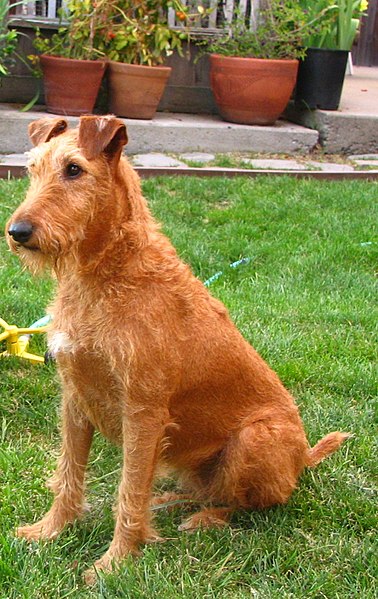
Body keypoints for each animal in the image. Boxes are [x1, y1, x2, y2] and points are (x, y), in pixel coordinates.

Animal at [5, 115, 348, 584]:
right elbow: (68, 475)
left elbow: (128, 492)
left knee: (249, 504)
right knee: (202, 490)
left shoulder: (143, 412)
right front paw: (50, 531)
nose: (17, 232)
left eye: (74, 169)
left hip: (255, 438)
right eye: (33, 169)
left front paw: (114, 565)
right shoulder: (75, 397)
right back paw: (168, 503)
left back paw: (203, 519)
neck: (106, 274)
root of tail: (304, 459)